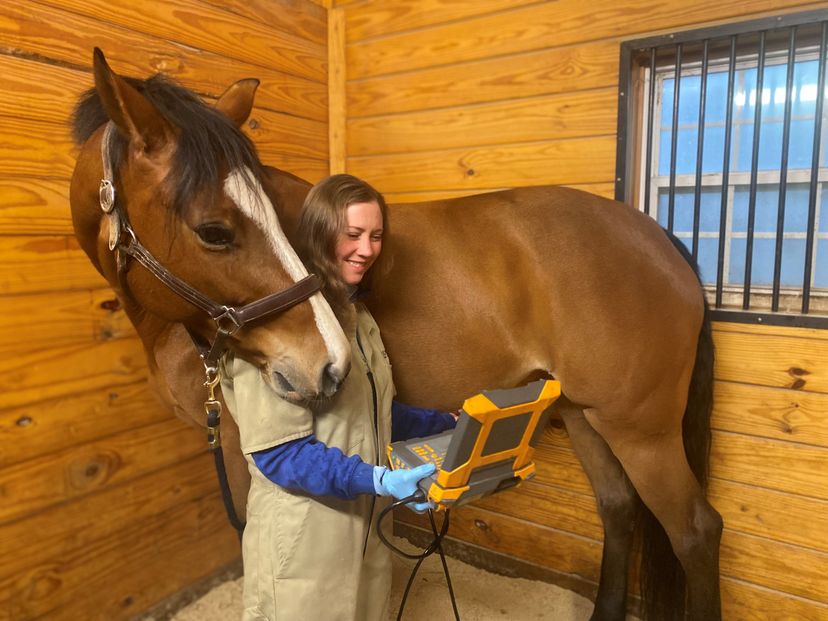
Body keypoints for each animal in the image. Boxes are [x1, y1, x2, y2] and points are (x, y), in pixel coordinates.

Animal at [69, 51, 722, 621]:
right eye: (214, 230)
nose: (327, 363)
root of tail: (658, 239)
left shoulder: (241, 447)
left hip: (640, 430)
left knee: (695, 530)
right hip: (585, 415)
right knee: (619, 507)